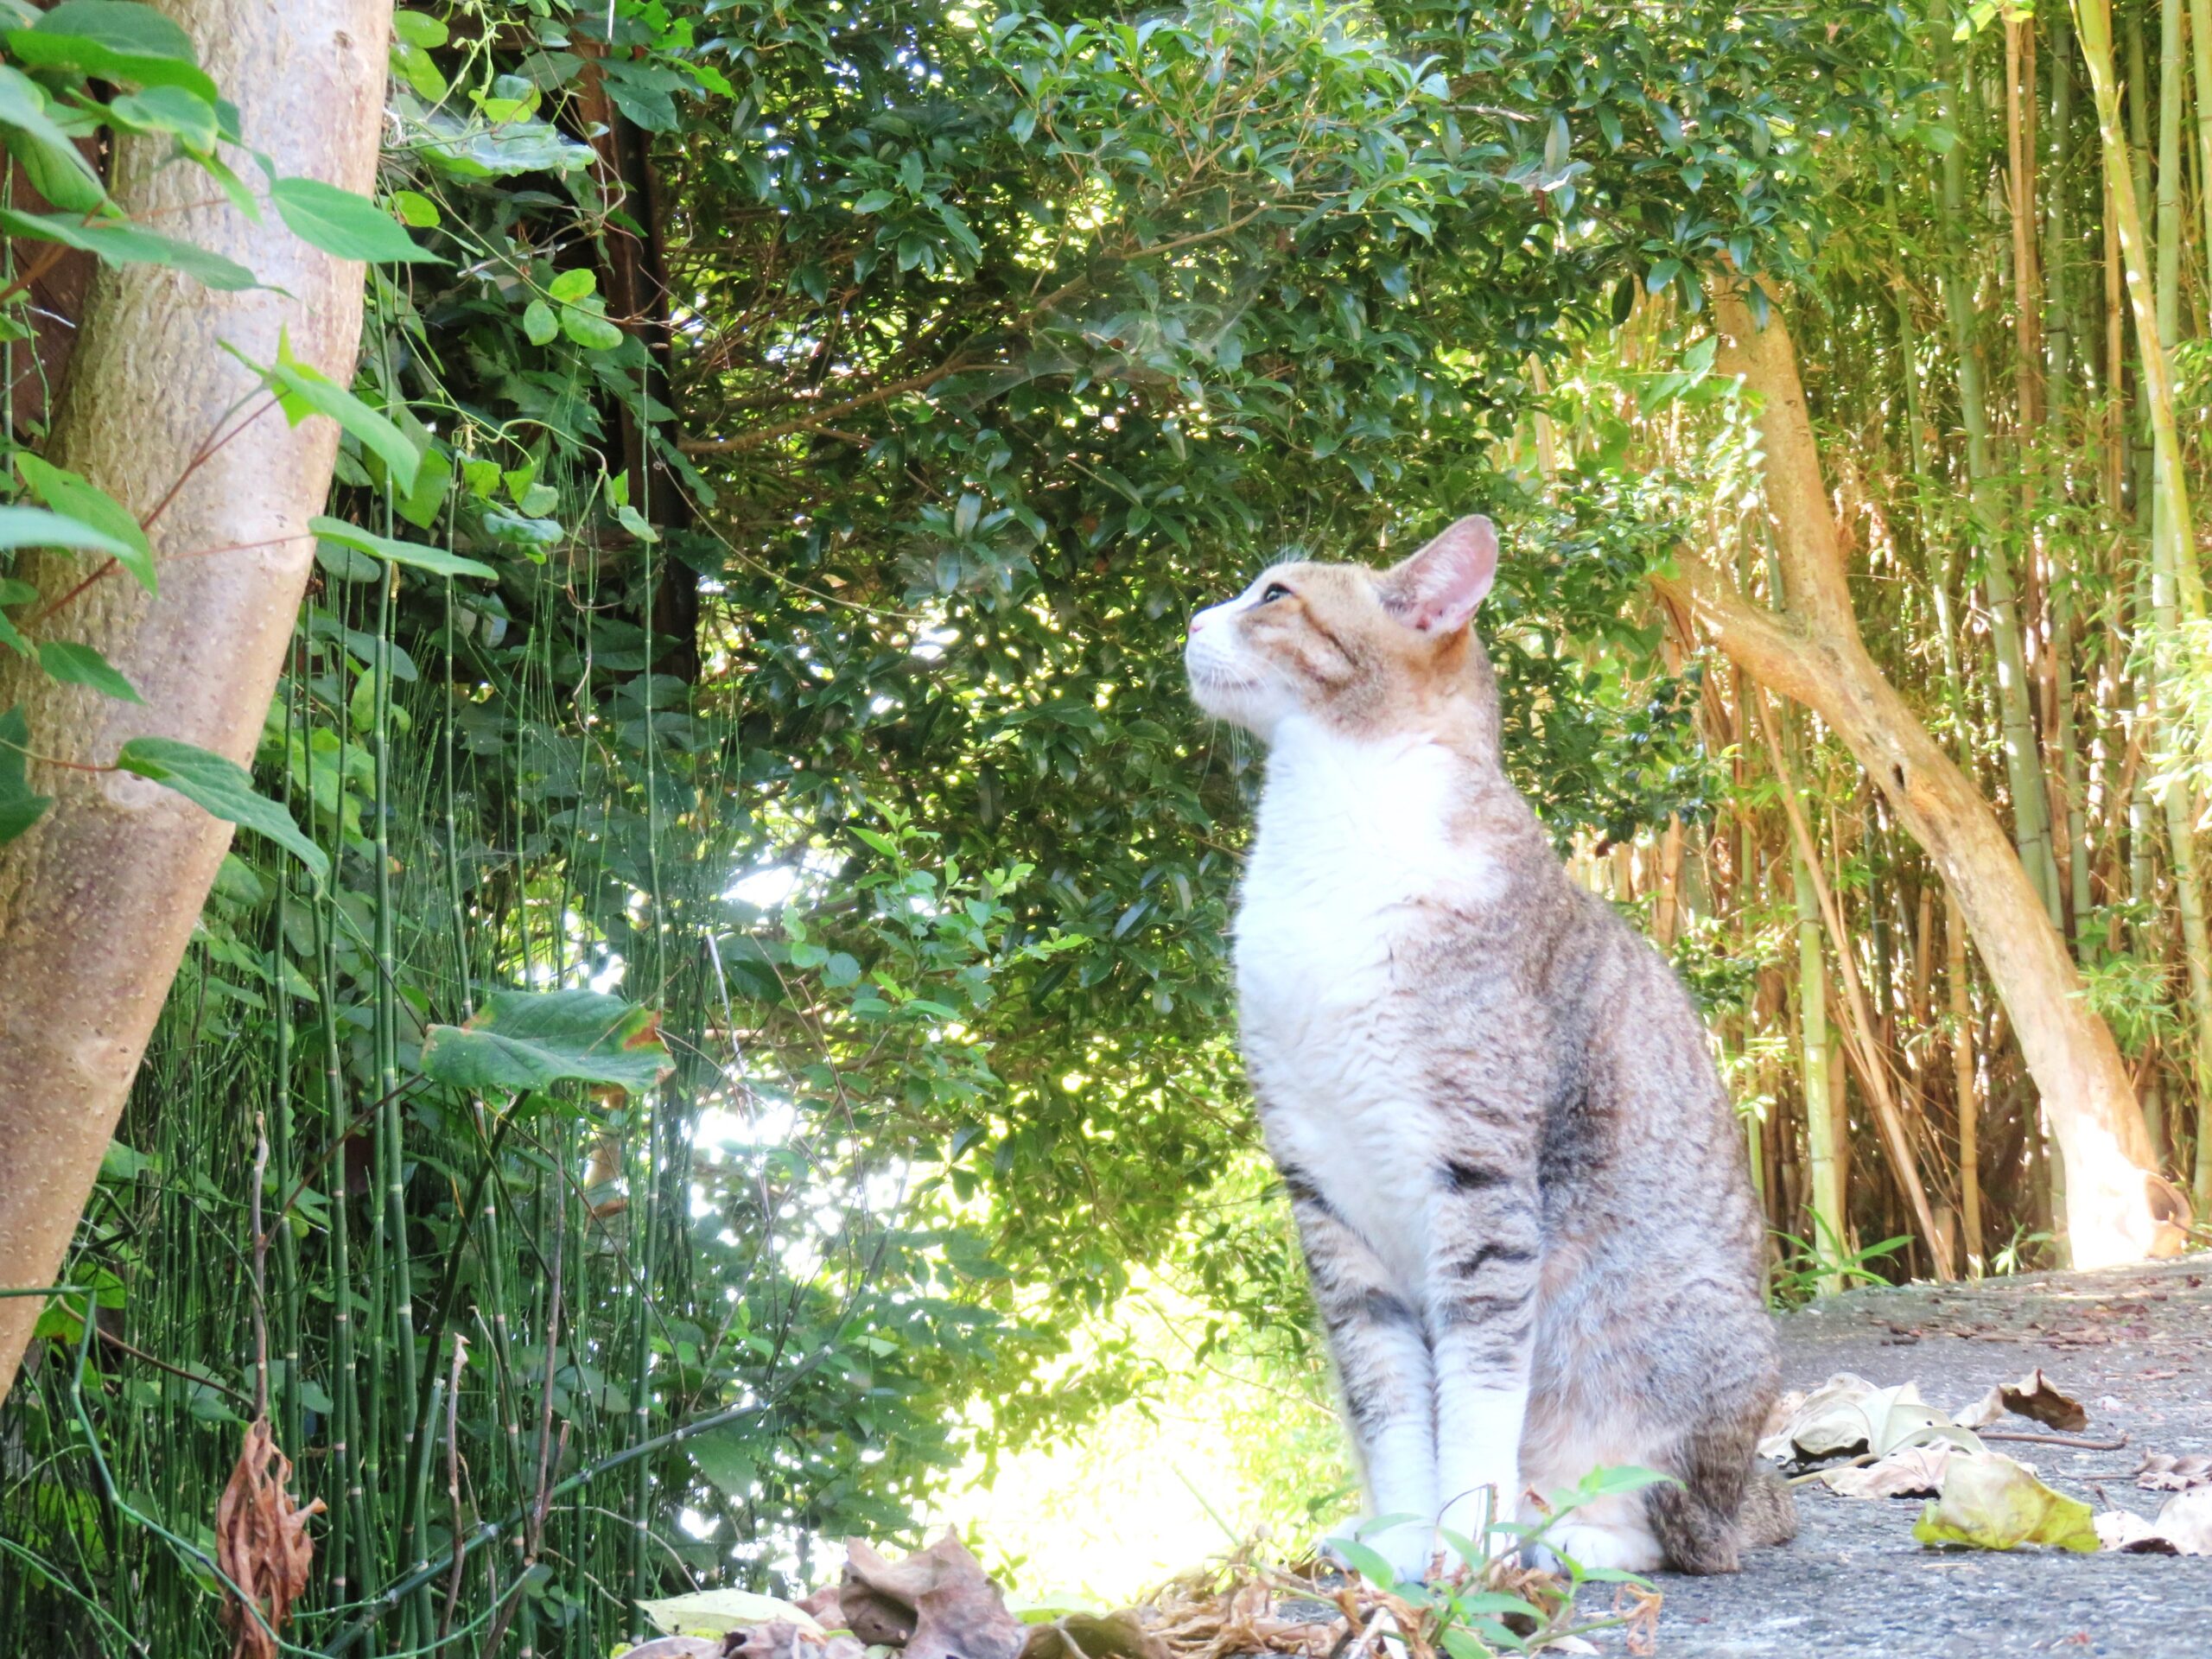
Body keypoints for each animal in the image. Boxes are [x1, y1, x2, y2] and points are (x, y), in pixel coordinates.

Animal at [1185, 519, 1787, 1583]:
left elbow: (1477, 1386)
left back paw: (1561, 1534)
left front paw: (1463, 1543)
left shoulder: (1480, 1174)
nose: (1187, 620)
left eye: (1275, 596)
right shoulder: (1322, 1193)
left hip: (1679, 1338)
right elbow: (1387, 1395)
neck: (1329, 834)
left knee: (1686, 1533)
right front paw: (1399, 1542)